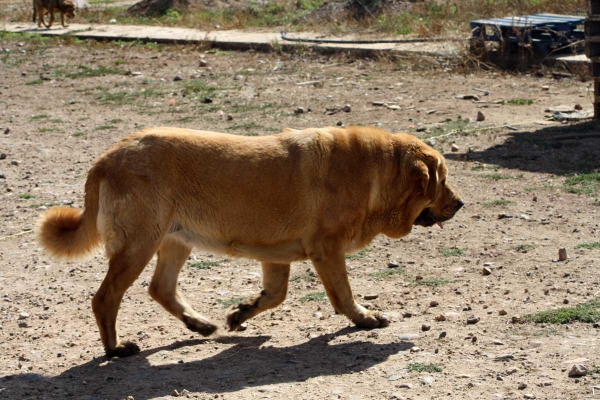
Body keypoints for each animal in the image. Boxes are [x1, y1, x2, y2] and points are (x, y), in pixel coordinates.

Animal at [37, 126, 464, 358]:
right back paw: (114, 349)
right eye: (443, 179)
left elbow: (274, 296)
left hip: (174, 242)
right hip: (138, 246)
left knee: (161, 289)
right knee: (105, 298)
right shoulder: (328, 252)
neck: (377, 170)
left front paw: (240, 313)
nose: (461, 203)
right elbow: (343, 295)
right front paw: (365, 318)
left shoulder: (277, 257)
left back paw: (199, 323)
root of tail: (106, 157)